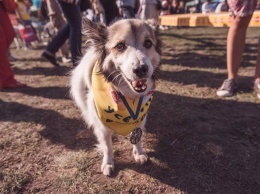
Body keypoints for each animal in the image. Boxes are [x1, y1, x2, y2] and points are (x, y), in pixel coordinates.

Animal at [70, 18, 161, 176]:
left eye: (148, 43)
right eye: (120, 46)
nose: (141, 69)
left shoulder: (140, 117)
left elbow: (138, 137)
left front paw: (139, 153)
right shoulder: (101, 125)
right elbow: (107, 145)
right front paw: (108, 163)